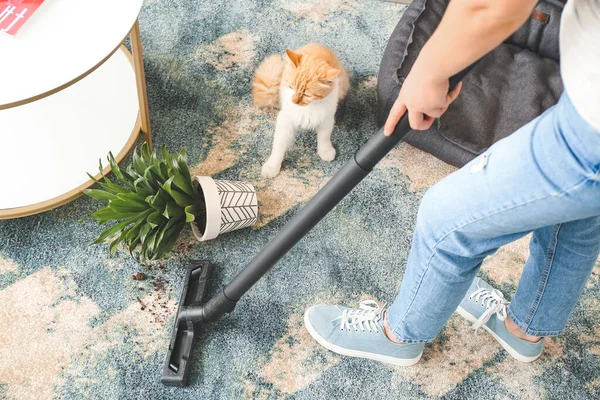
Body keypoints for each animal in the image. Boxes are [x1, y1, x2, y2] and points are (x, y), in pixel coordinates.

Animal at [252, 42, 346, 178]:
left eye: (307, 95)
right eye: (291, 87)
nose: (294, 101)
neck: (308, 108)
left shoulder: (327, 119)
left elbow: (324, 138)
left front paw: (325, 151)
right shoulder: (285, 121)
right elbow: (278, 146)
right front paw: (272, 166)